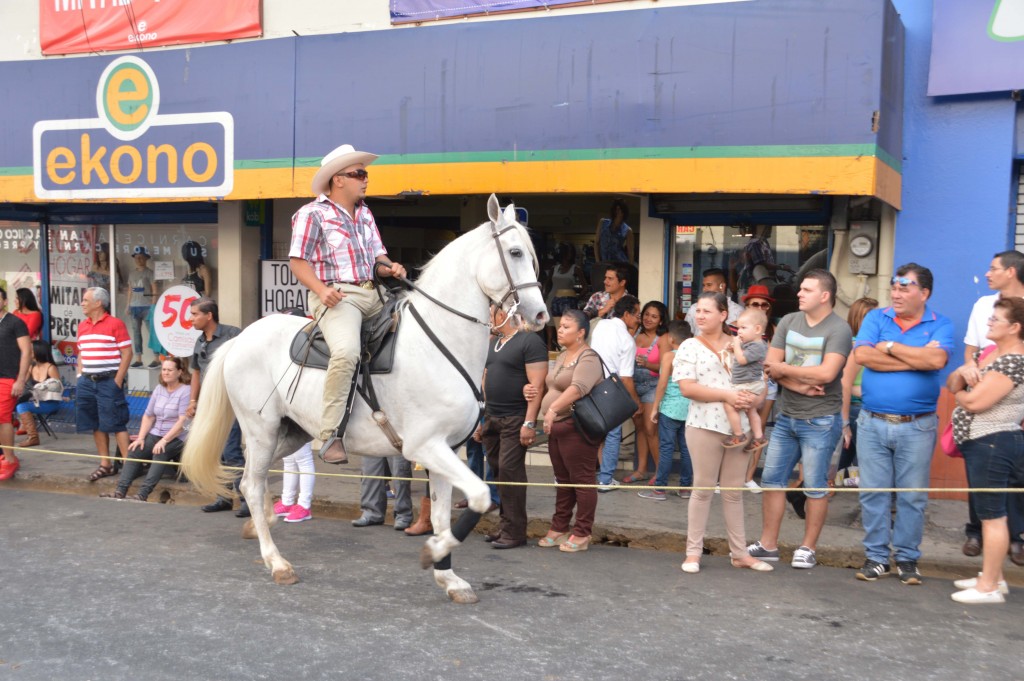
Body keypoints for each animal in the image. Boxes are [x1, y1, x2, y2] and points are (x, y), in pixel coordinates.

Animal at [184, 195, 552, 602]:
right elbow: (480, 497)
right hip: (261, 429)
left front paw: (450, 578)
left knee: (253, 478)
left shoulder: (448, 448)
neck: (439, 341)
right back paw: (277, 562)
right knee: (251, 481)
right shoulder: (426, 446)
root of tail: (239, 339)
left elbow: (445, 514)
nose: (540, 315)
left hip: (292, 432)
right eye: (515, 252)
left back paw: (261, 521)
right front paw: (434, 554)